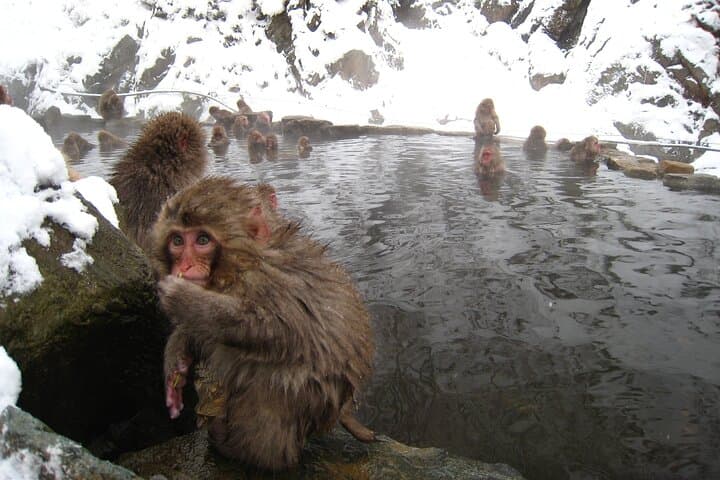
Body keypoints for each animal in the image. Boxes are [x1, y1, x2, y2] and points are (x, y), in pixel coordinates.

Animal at [152, 177, 376, 470]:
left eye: (202, 240)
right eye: (177, 241)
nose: (185, 266)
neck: (241, 264)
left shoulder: (272, 283)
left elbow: (280, 331)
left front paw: (187, 301)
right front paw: (176, 360)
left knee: (276, 383)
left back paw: (245, 450)